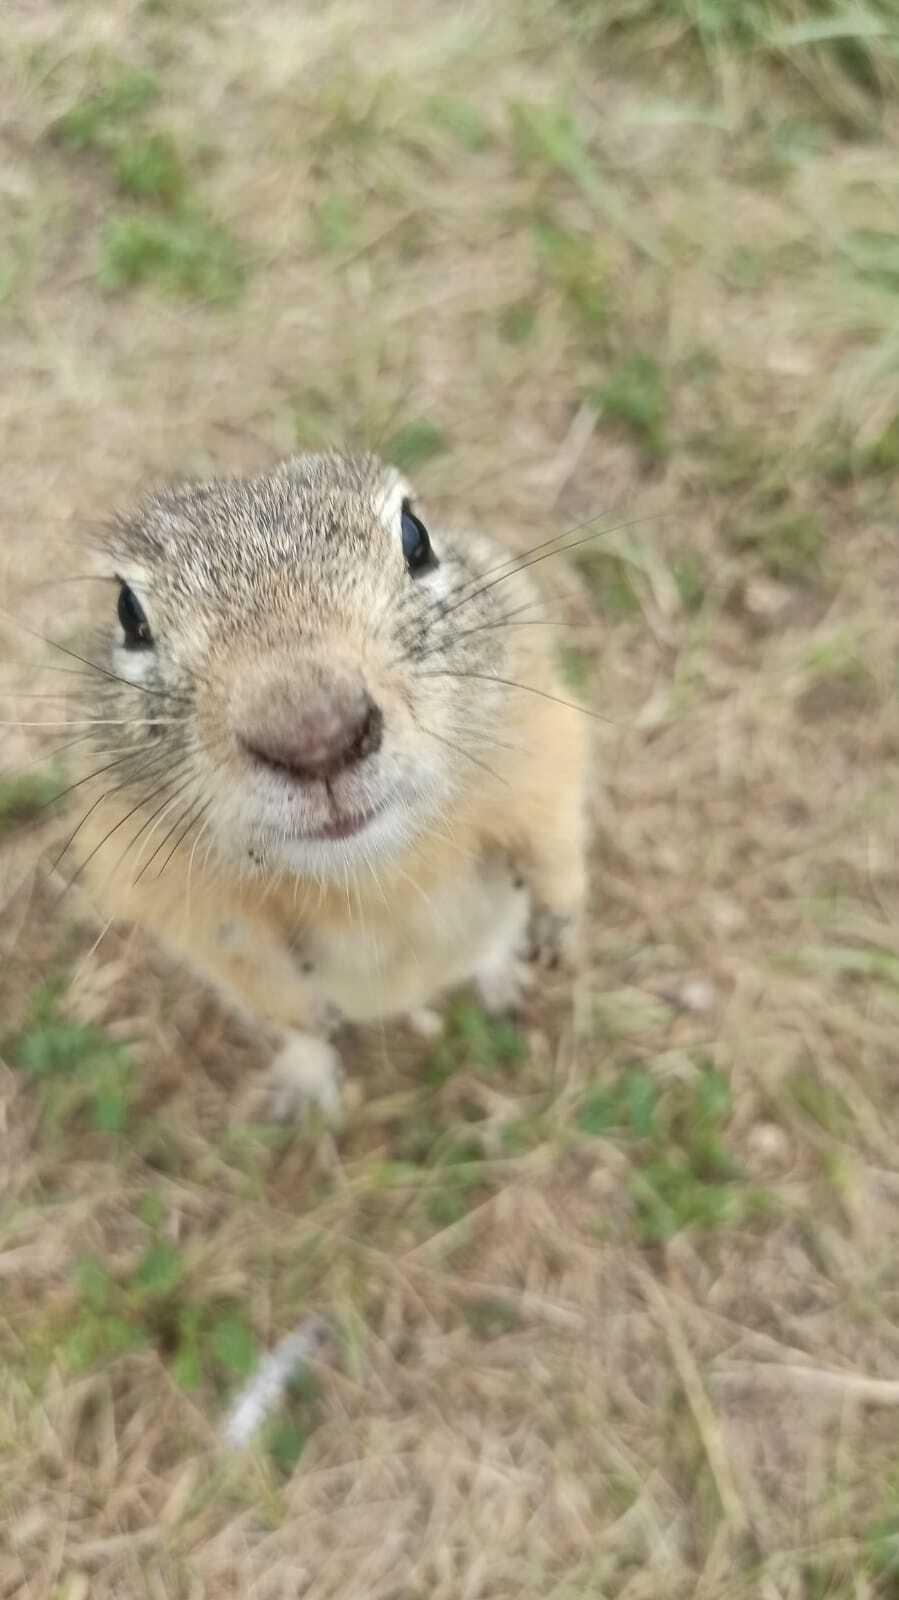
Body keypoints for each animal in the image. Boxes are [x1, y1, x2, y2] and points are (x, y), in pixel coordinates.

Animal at [66, 457, 591, 1120]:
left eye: (416, 537)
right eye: (128, 613)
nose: (315, 737)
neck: (371, 875)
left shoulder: (542, 734)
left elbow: (554, 836)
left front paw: (557, 925)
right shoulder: (159, 882)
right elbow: (249, 962)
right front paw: (307, 1022)